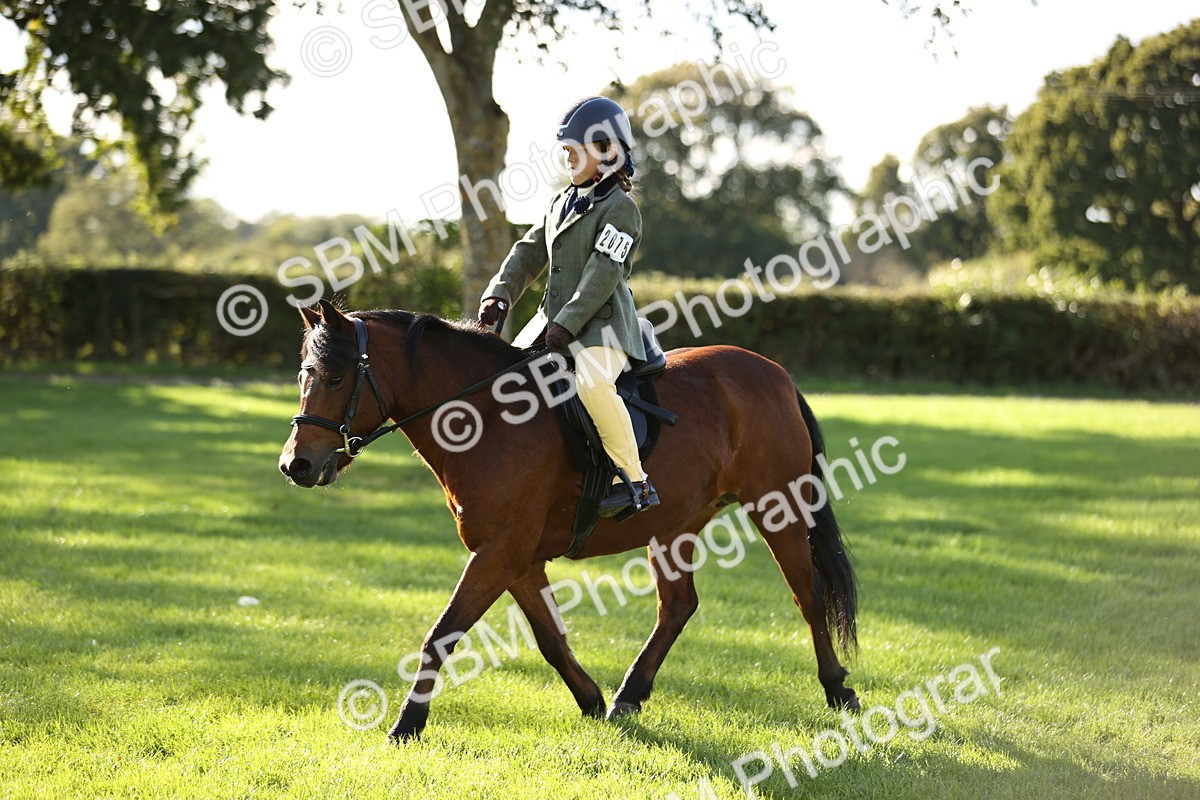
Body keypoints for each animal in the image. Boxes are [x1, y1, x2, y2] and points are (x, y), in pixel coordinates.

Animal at [278, 299, 859, 741]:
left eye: (335, 377)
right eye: (303, 376)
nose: (296, 465)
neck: (486, 417)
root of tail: (773, 372)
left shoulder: (500, 553)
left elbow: (442, 634)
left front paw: (407, 724)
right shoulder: (515, 559)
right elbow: (550, 638)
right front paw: (592, 701)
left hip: (778, 506)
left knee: (808, 595)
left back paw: (839, 689)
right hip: (676, 524)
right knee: (678, 606)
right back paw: (629, 696)